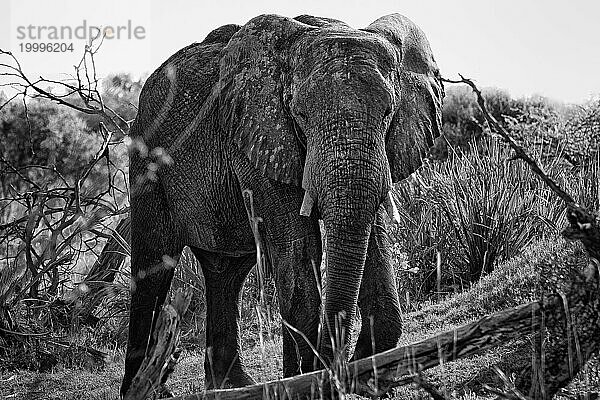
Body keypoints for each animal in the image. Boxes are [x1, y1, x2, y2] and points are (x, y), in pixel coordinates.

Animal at [119, 12, 442, 396]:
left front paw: (368, 379)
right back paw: (146, 389)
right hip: (146, 161)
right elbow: (297, 248)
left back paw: (232, 386)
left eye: (389, 112)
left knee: (226, 273)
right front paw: (307, 382)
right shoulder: (257, 140)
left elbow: (371, 237)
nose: (337, 371)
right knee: (153, 266)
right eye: (300, 115)